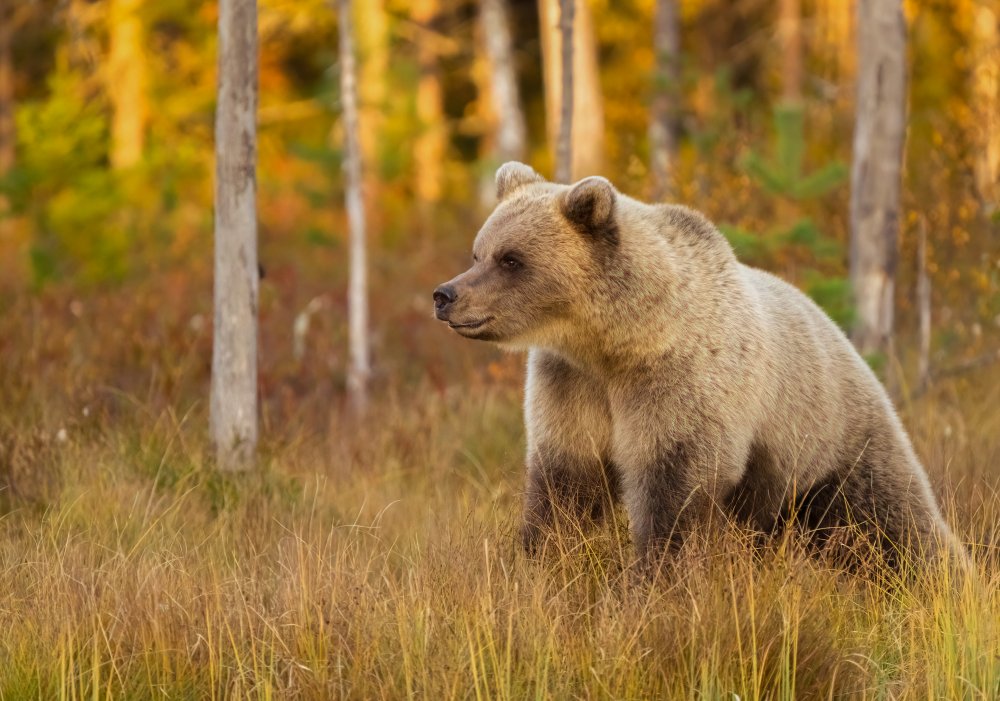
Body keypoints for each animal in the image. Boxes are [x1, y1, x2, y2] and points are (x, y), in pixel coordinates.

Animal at [434, 161, 964, 572]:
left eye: (511, 259)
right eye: (479, 252)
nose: (446, 295)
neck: (617, 343)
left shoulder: (681, 382)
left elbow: (672, 492)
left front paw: (652, 583)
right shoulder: (570, 383)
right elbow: (566, 483)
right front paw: (538, 563)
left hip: (832, 441)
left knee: (892, 524)